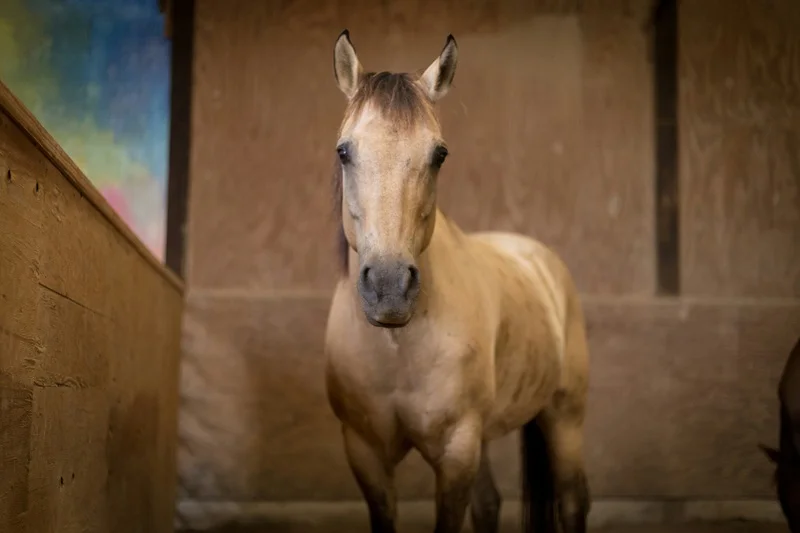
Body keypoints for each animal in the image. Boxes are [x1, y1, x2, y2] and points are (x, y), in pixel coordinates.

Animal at [323, 30, 591, 533]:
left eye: (439, 155)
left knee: (571, 501)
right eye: (344, 151)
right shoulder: (364, 453)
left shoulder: (456, 449)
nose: (389, 286)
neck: (398, 348)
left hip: (564, 419)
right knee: (489, 505)